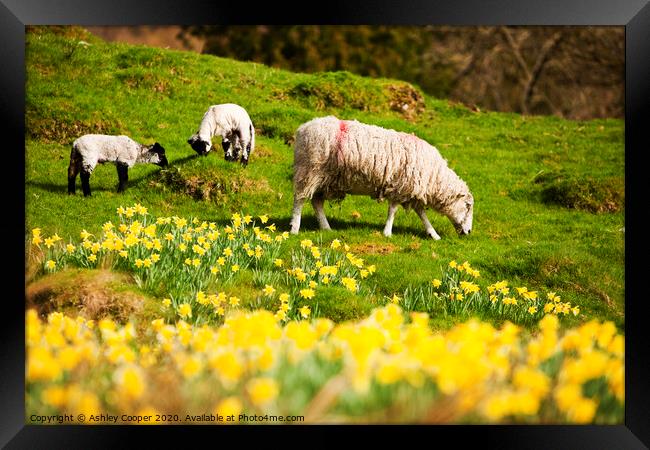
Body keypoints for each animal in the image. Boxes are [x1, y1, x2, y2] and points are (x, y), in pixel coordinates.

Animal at [288, 118, 470, 241]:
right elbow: (393, 211)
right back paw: (294, 228)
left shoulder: (411, 189)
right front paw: (387, 232)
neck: (434, 176)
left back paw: (326, 228)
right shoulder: (400, 187)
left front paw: (433, 234)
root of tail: (302, 128)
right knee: (299, 199)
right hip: (309, 170)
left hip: (324, 179)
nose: (468, 232)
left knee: (316, 202)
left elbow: (422, 214)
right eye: (468, 206)